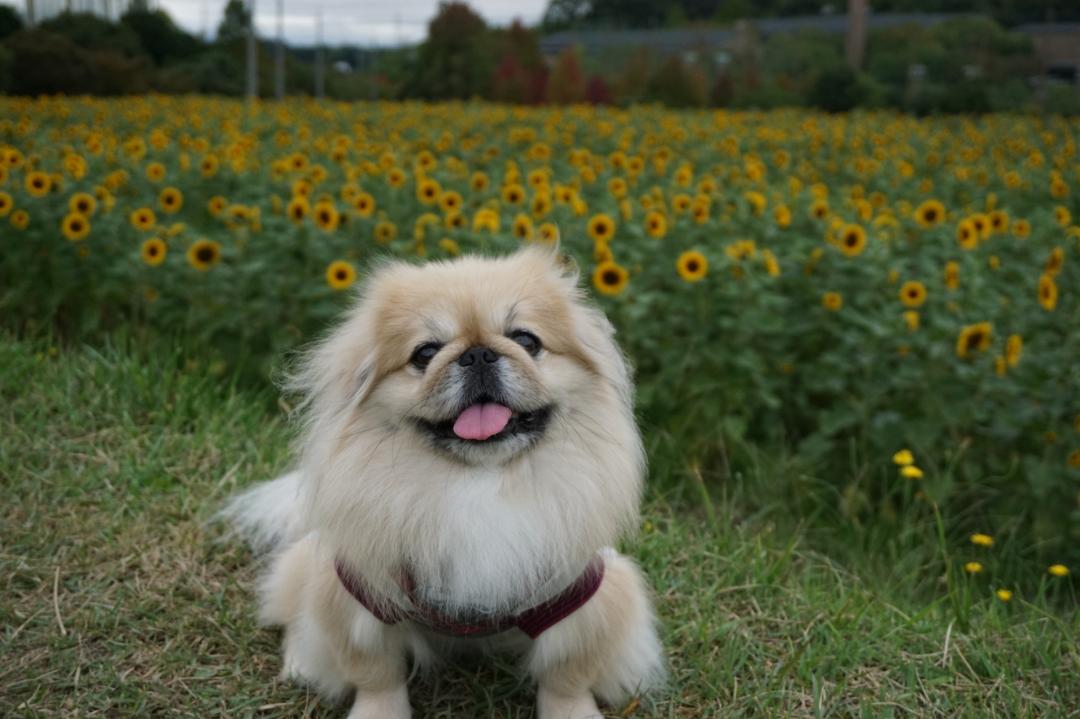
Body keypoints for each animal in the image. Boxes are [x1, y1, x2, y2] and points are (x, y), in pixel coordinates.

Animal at [226, 243, 660, 712]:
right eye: (425, 353)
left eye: (526, 340)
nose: (478, 353)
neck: (480, 481)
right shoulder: (361, 596)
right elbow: (375, 674)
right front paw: (379, 712)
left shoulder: (580, 597)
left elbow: (567, 677)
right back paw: (299, 664)